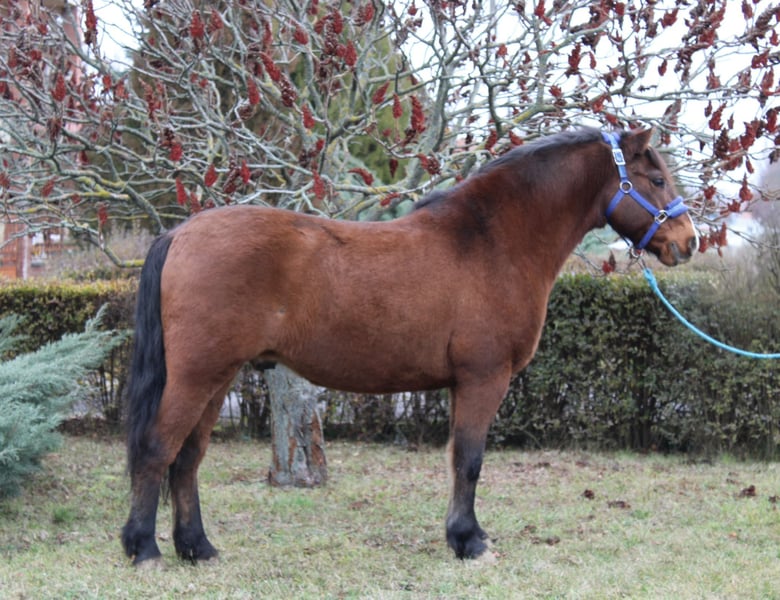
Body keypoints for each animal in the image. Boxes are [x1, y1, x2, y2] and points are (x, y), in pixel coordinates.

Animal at [121, 127, 698, 565]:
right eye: (656, 178)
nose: (689, 241)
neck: (490, 242)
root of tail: (181, 234)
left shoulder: (460, 384)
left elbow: (459, 459)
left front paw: (463, 536)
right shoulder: (484, 378)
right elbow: (469, 460)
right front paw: (469, 542)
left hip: (218, 377)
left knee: (187, 459)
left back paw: (197, 548)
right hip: (198, 374)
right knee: (157, 449)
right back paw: (145, 549)